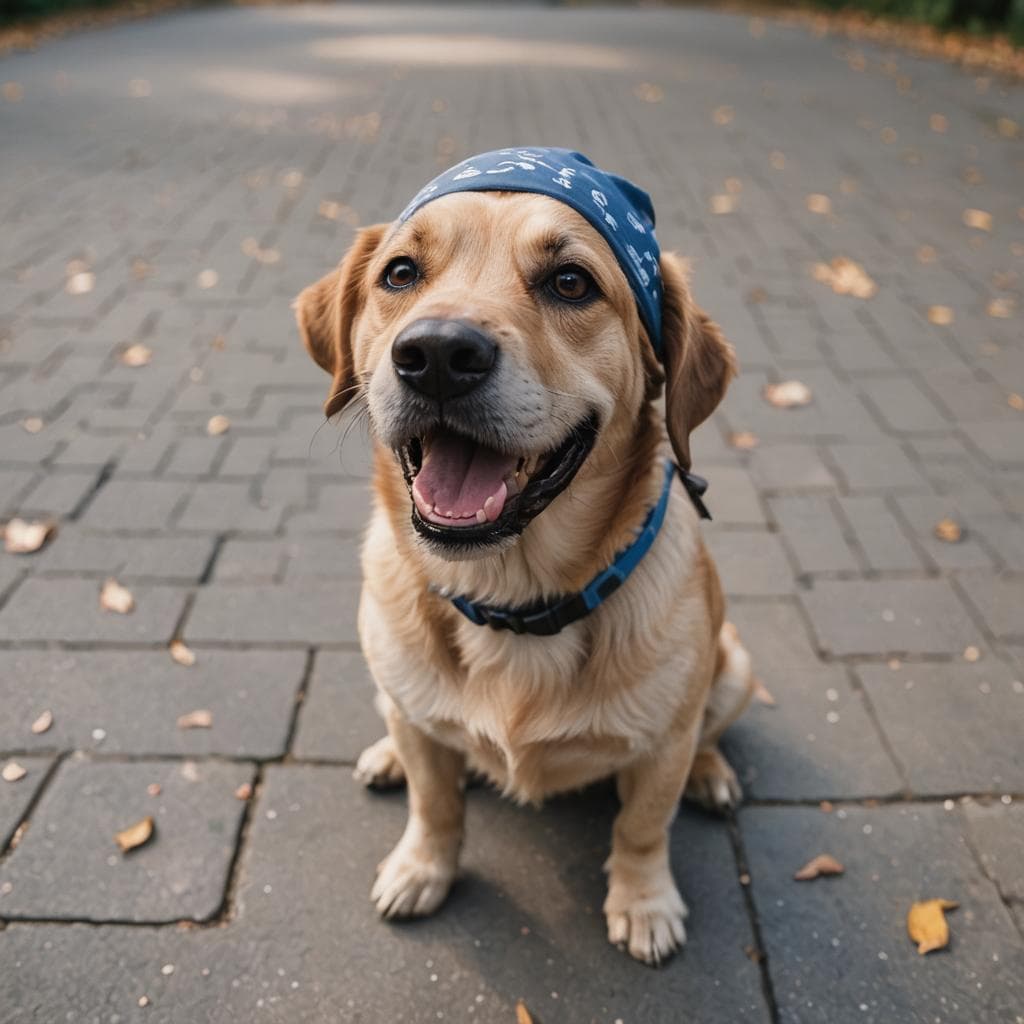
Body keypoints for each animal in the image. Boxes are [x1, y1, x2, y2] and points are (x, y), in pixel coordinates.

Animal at [292, 148, 757, 962]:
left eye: (571, 282)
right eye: (401, 273)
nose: (437, 354)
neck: (513, 601)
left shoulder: (661, 747)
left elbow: (643, 827)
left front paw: (643, 902)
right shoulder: (423, 734)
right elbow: (435, 803)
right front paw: (423, 867)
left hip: (733, 667)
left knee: (705, 735)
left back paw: (711, 773)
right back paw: (387, 756)